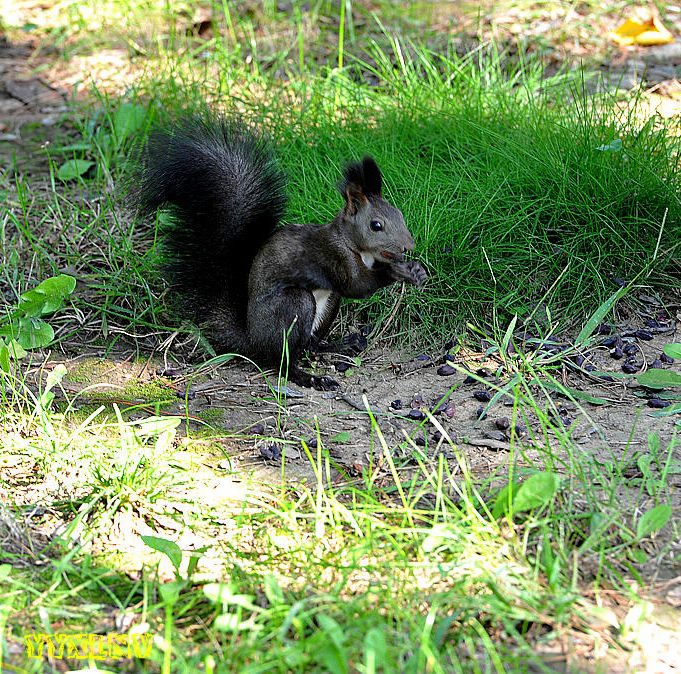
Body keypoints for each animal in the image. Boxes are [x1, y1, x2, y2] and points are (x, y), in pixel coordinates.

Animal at [135, 116, 424, 388]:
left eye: (399, 214)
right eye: (376, 225)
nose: (409, 246)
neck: (354, 245)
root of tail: (253, 340)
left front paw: (415, 269)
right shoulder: (331, 256)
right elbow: (356, 285)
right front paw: (399, 271)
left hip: (329, 304)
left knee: (310, 345)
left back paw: (341, 345)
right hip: (294, 305)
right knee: (283, 361)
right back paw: (310, 377)